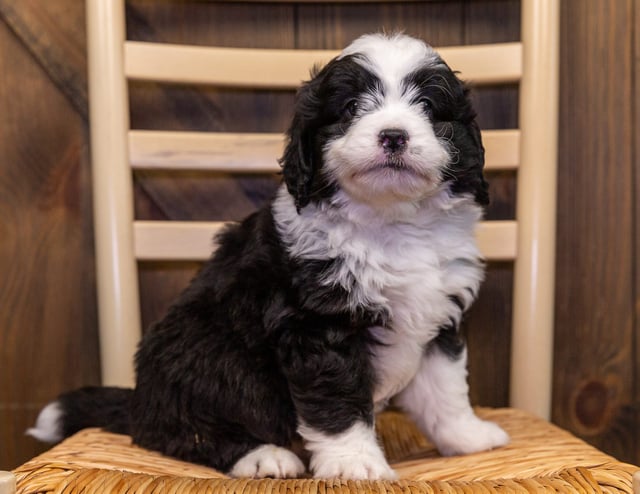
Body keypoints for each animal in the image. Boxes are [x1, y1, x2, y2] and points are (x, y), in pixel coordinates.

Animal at [28, 33, 510, 478]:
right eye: (351, 107)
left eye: (427, 106)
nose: (393, 135)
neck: (390, 221)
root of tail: (140, 401)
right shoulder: (316, 326)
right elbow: (338, 404)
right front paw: (355, 464)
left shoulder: (438, 317)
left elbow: (446, 388)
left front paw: (466, 436)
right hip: (204, 354)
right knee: (179, 432)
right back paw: (261, 456)